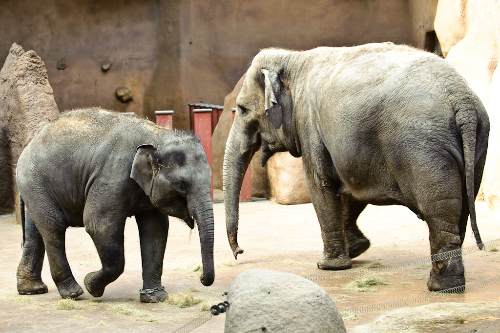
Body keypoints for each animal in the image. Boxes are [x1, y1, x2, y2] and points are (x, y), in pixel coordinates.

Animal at [15, 108, 215, 300]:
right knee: (54, 228)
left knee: (36, 231)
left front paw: (155, 297)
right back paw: (73, 293)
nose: (200, 277)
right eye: (181, 185)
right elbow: (99, 225)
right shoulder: (112, 176)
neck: (157, 135)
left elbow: (155, 229)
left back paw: (32, 289)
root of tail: (28, 145)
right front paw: (91, 286)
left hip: (35, 188)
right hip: (35, 182)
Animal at [225, 42, 490, 290]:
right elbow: (352, 187)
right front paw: (357, 249)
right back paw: (450, 283)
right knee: (460, 207)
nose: (240, 252)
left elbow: (321, 185)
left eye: (242, 110)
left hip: (424, 147)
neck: (293, 59)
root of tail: (461, 99)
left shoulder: (309, 125)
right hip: (477, 143)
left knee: (438, 210)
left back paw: (440, 286)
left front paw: (328, 265)